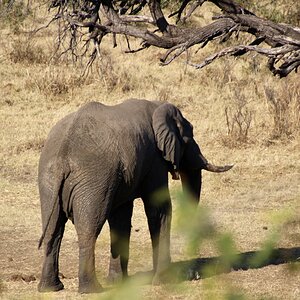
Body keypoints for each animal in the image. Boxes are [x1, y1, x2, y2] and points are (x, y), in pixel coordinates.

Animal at [37, 99, 233, 292]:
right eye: (189, 136)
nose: (193, 274)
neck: (158, 107)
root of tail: (63, 156)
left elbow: (121, 218)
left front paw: (119, 283)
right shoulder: (155, 159)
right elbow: (159, 209)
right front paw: (165, 281)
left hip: (48, 179)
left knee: (53, 230)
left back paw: (50, 288)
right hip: (91, 180)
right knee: (89, 230)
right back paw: (92, 290)